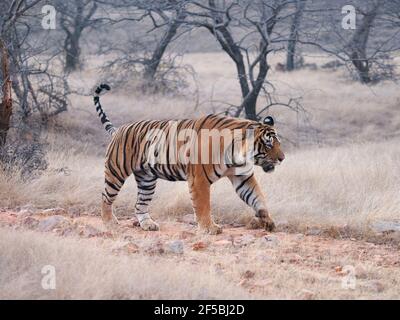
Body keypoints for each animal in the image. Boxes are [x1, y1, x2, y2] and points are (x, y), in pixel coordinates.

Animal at [94, 84, 284, 234]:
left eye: (278, 143)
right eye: (268, 144)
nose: (282, 158)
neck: (237, 155)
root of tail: (118, 129)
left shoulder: (243, 177)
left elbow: (258, 198)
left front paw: (267, 220)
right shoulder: (199, 179)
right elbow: (203, 205)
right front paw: (209, 228)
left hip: (146, 180)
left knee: (140, 204)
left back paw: (148, 225)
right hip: (116, 172)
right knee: (105, 197)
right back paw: (109, 222)